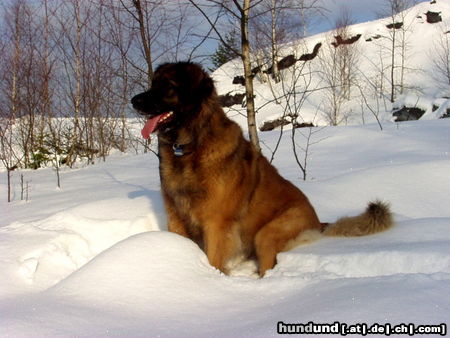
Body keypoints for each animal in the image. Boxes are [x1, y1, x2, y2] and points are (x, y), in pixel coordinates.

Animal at [131, 61, 394, 278]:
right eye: (153, 83)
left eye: (167, 86)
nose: (134, 101)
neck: (191, 145)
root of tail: (318, 221)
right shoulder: (176, 217)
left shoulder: (216, 222)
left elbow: (214, 259)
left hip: (267, 233)